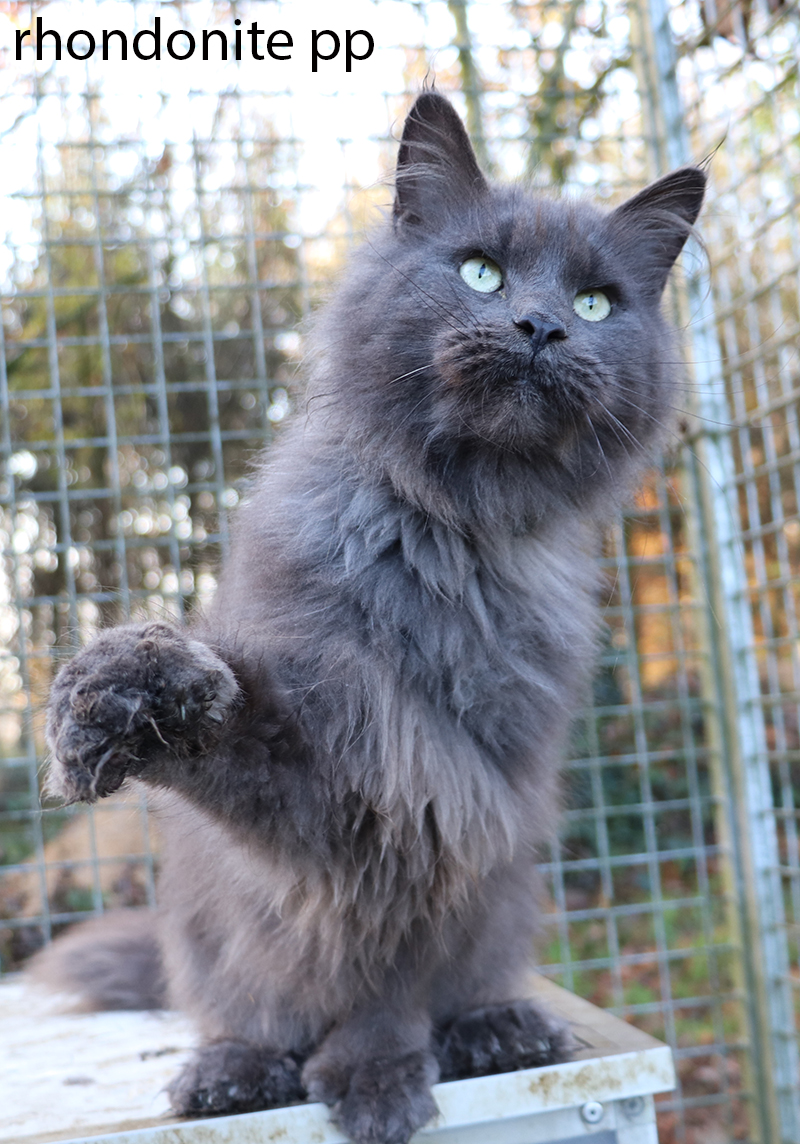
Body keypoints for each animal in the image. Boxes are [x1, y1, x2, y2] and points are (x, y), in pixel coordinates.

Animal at [34, 91, 705, 1144]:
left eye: (597, 303)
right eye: (480, 271)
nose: (541, 325)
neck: (449, 533)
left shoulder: (456, 802)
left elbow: (393, 983)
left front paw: (377, 1077)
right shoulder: (341, 768)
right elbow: (226, 721)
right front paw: (127, 699)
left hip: (507, 898)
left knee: (471, 984)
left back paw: (499, 1030)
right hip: (215, 931)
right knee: (239, 1012)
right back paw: (232, 1073)